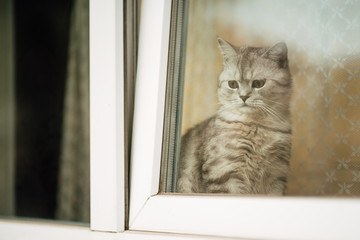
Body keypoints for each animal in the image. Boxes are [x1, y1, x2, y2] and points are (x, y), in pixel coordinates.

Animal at [176, 37, 292, 195]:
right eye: (232, 84)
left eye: (258, 83)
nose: (243, 97)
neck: (256, 126)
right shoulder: (224, 172)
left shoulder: (277, 175)